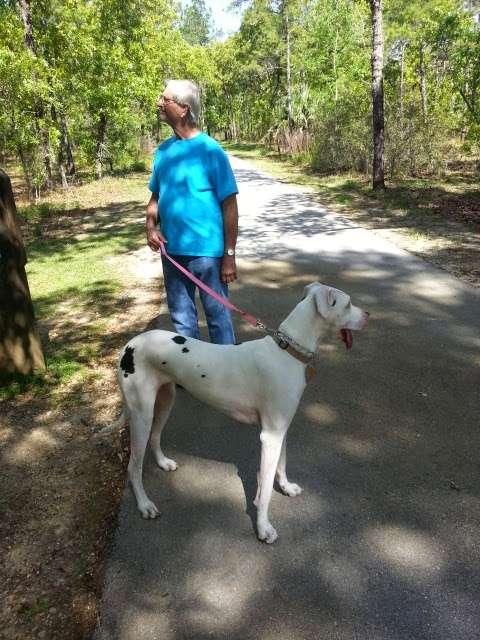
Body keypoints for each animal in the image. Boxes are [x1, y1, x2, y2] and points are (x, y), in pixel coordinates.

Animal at [109, 282, 370, 544]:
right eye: (348, 304)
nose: (368, 314)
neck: (286, 352)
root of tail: (129, 345)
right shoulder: (270, 437)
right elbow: (266, 489)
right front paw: (263, 527)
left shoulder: (281, 430)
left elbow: (281, 465)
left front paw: (286, 487)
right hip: (142, 415)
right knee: (134, 467)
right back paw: (145, 505)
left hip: (164, 402)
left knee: (155, 437)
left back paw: (163, 463)